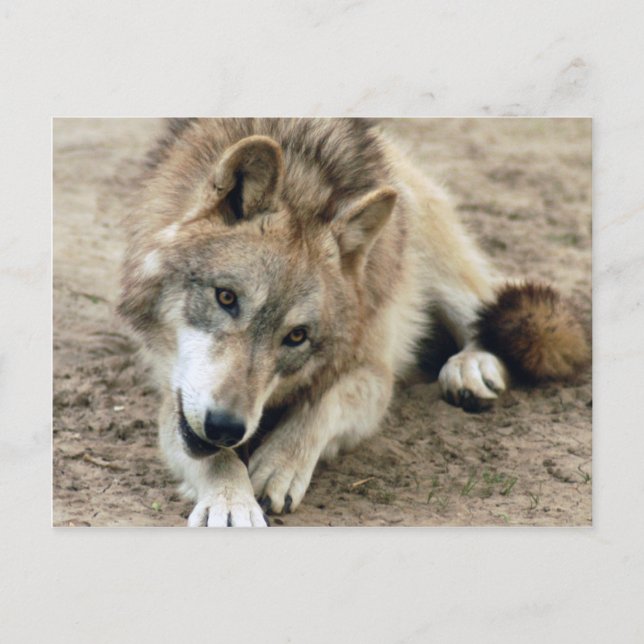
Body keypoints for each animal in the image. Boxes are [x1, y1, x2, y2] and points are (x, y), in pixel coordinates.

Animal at [118, 118, 588, 527]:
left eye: (297, 336)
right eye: (226, 298)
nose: (225, 426)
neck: (304, 185)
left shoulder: (374, 372)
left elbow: (324, 403)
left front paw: (279, 464)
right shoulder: (173, 393)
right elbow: (213, 456)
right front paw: (231, 501)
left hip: (435, 260)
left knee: (490, 312)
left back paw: (471, 367)